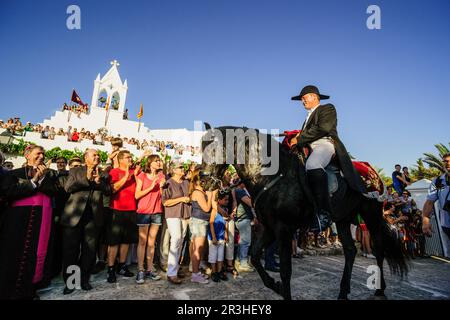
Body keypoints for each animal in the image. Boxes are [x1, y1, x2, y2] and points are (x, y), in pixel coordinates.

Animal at [200, 123, 408, 300]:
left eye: (214, 148)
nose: (203, 181)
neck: (271, 176)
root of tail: (373, 173)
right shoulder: (270, 228)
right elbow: (256, 256)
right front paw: (276, 286)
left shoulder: (283, 229)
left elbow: (285, 271)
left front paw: (282, 289)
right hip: (342, 219)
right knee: (350, 250)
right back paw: (343, 292)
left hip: (371, 214)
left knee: (378, 249)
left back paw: (379, 289)